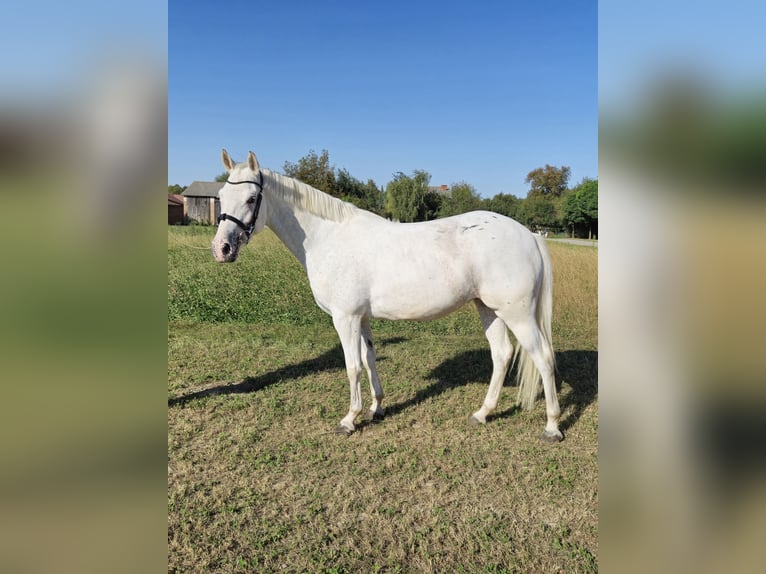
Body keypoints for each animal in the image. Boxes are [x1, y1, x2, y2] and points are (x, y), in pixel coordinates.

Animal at [212, 151, 564, 444]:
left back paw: (552, 426)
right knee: (502, 354)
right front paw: (376, 408)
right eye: (221, 197)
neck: (329, 238)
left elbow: (352, 366)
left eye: (252, 198)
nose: (221, 249)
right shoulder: (362, 318)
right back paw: (482, 414)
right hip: (489, 309)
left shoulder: (345, 318)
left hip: (518, 314)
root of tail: (529, 235)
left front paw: (349, 419)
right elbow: (369, 360)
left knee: (544, 358)